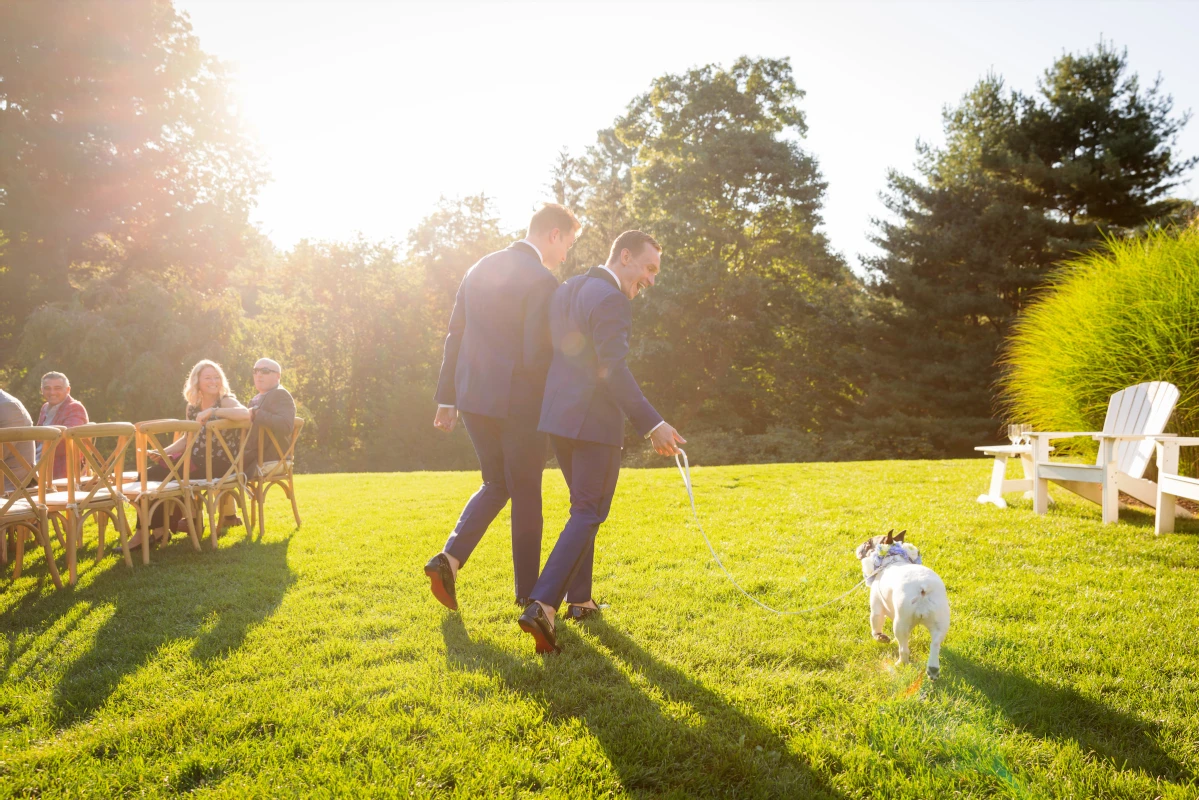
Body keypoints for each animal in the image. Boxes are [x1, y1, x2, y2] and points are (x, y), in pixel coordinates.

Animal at [858, 527, 949, 681]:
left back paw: (901, 663)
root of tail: (923, 587)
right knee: (935, 644)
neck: (892, 560)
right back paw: (933, 669)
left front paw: (881, 638)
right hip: (940, 622)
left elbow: (875, 628)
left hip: (901, 623)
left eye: (868, 544)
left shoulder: (876, 608)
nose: (860, 546)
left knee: (904, 648)